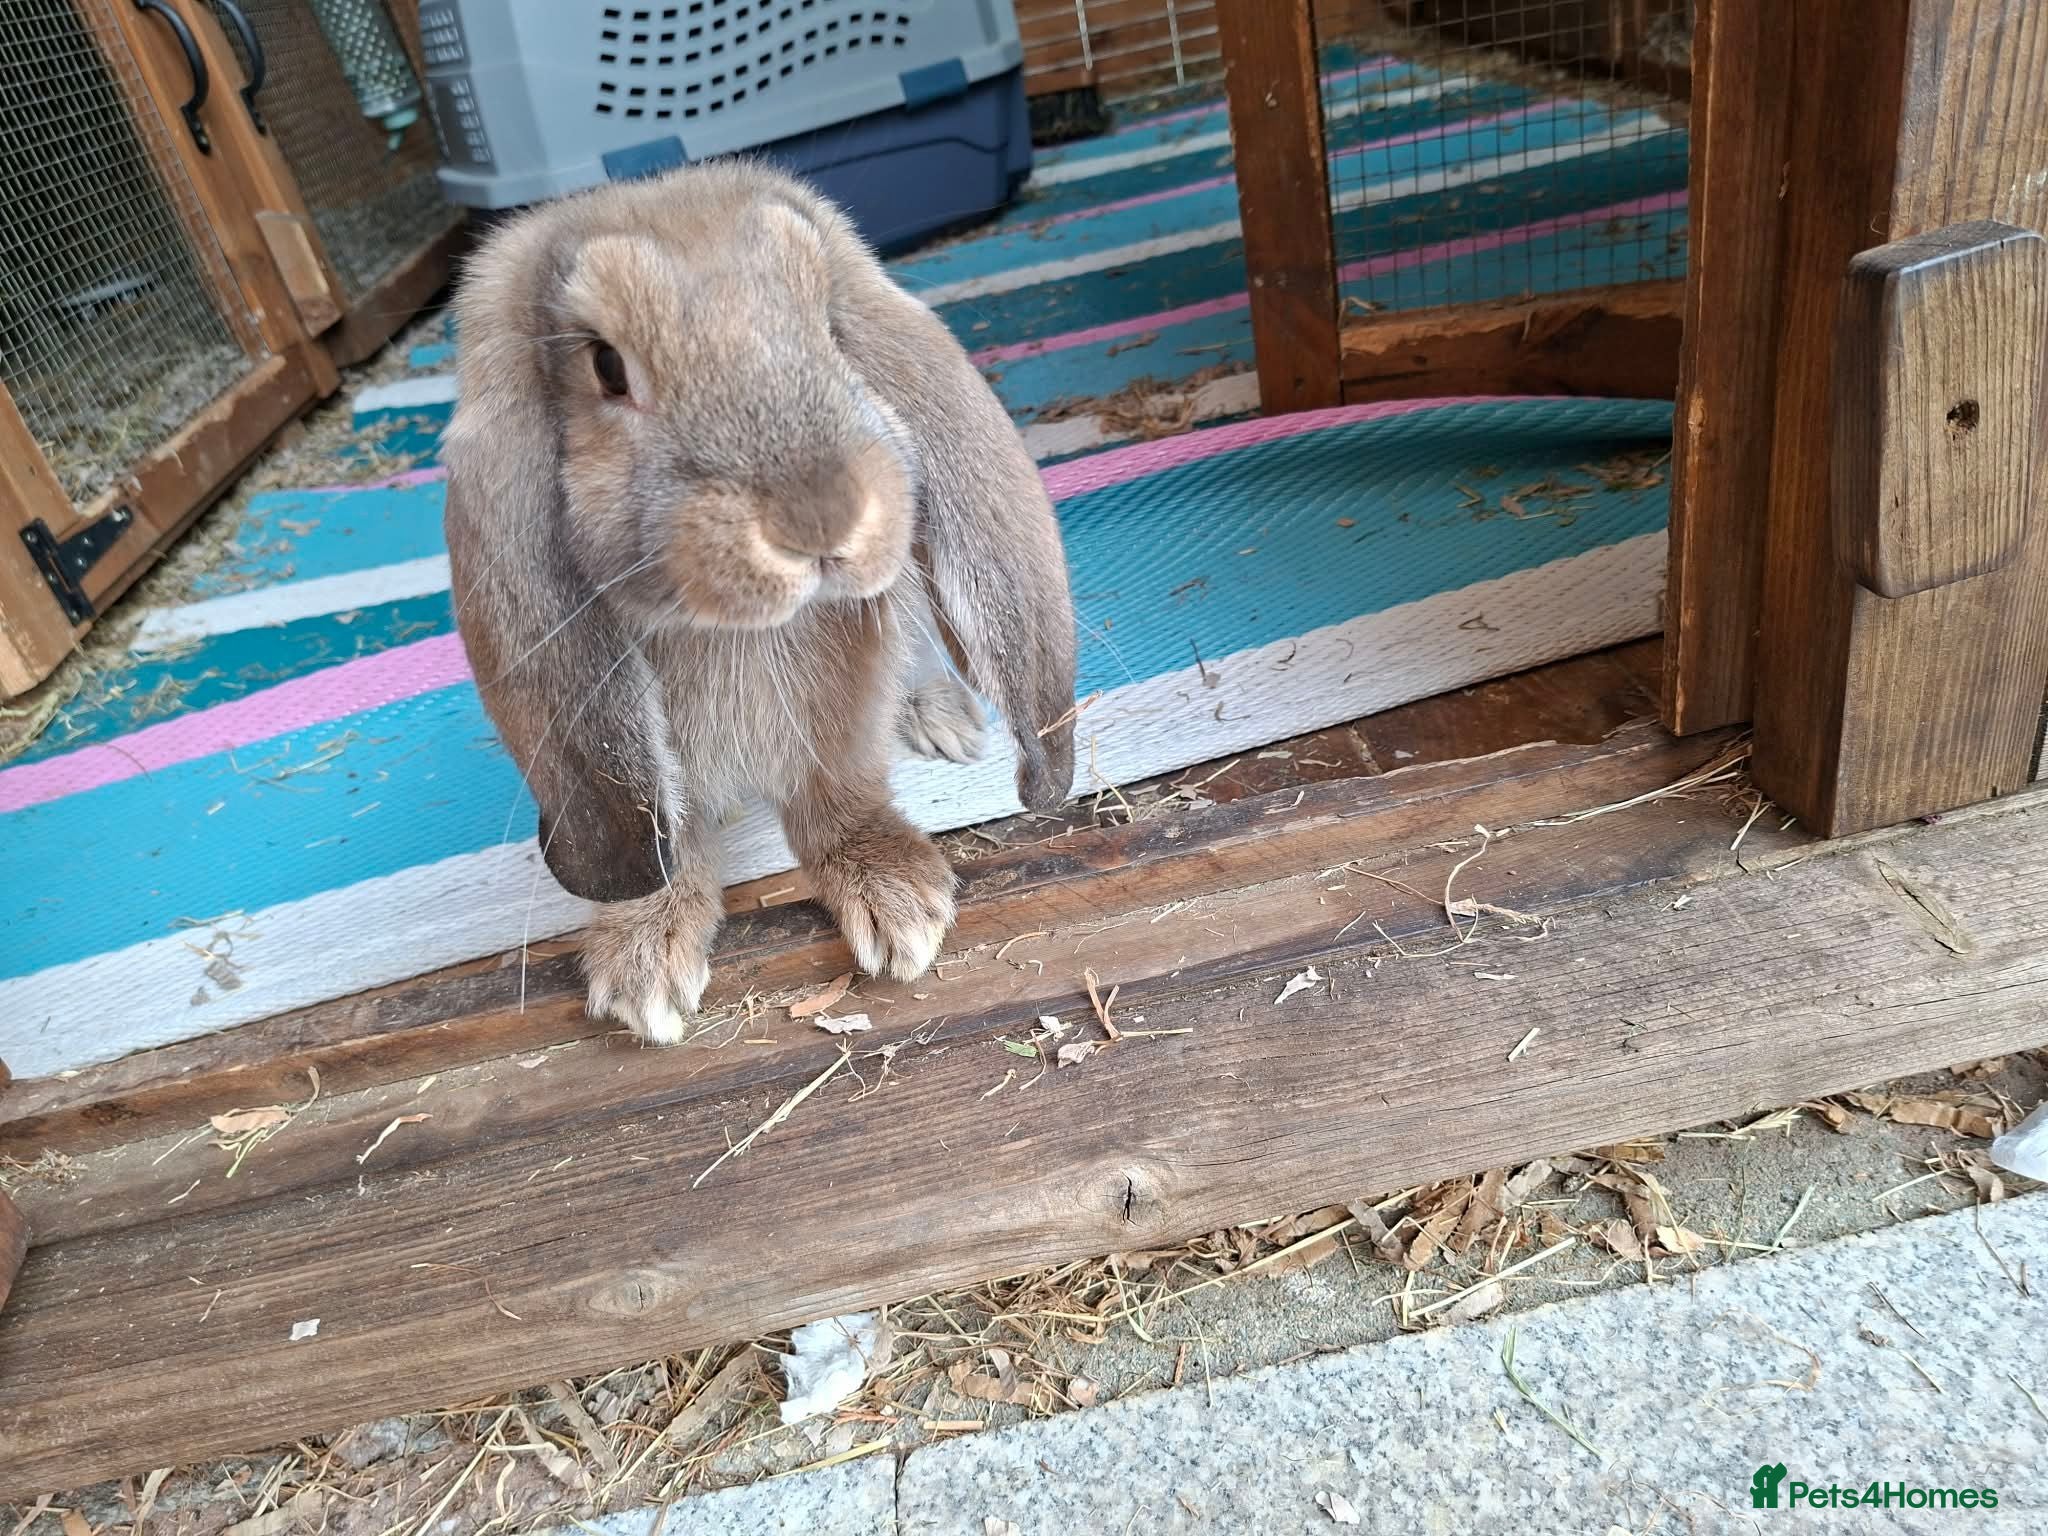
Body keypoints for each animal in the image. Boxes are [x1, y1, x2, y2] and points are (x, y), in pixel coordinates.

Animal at [443, 161, 1078, 1045]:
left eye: (830, 328)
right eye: (606, 366)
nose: (821, 518)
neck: (729, 632)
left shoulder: (844, 703)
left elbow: (836, 794)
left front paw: (899, 904)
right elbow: (670, 830)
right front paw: (642, 961)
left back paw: (941, 717)